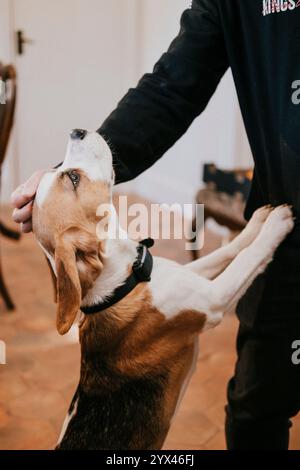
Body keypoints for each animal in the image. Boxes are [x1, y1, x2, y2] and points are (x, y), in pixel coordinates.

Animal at [32, 129, 292, 452]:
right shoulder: (213, 300)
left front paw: (256, 222)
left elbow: (230, 249)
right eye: (74, 178)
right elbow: (248, 257)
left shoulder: (191, 275)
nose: (77, 131)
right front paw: (276, 225)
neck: (125, 281)